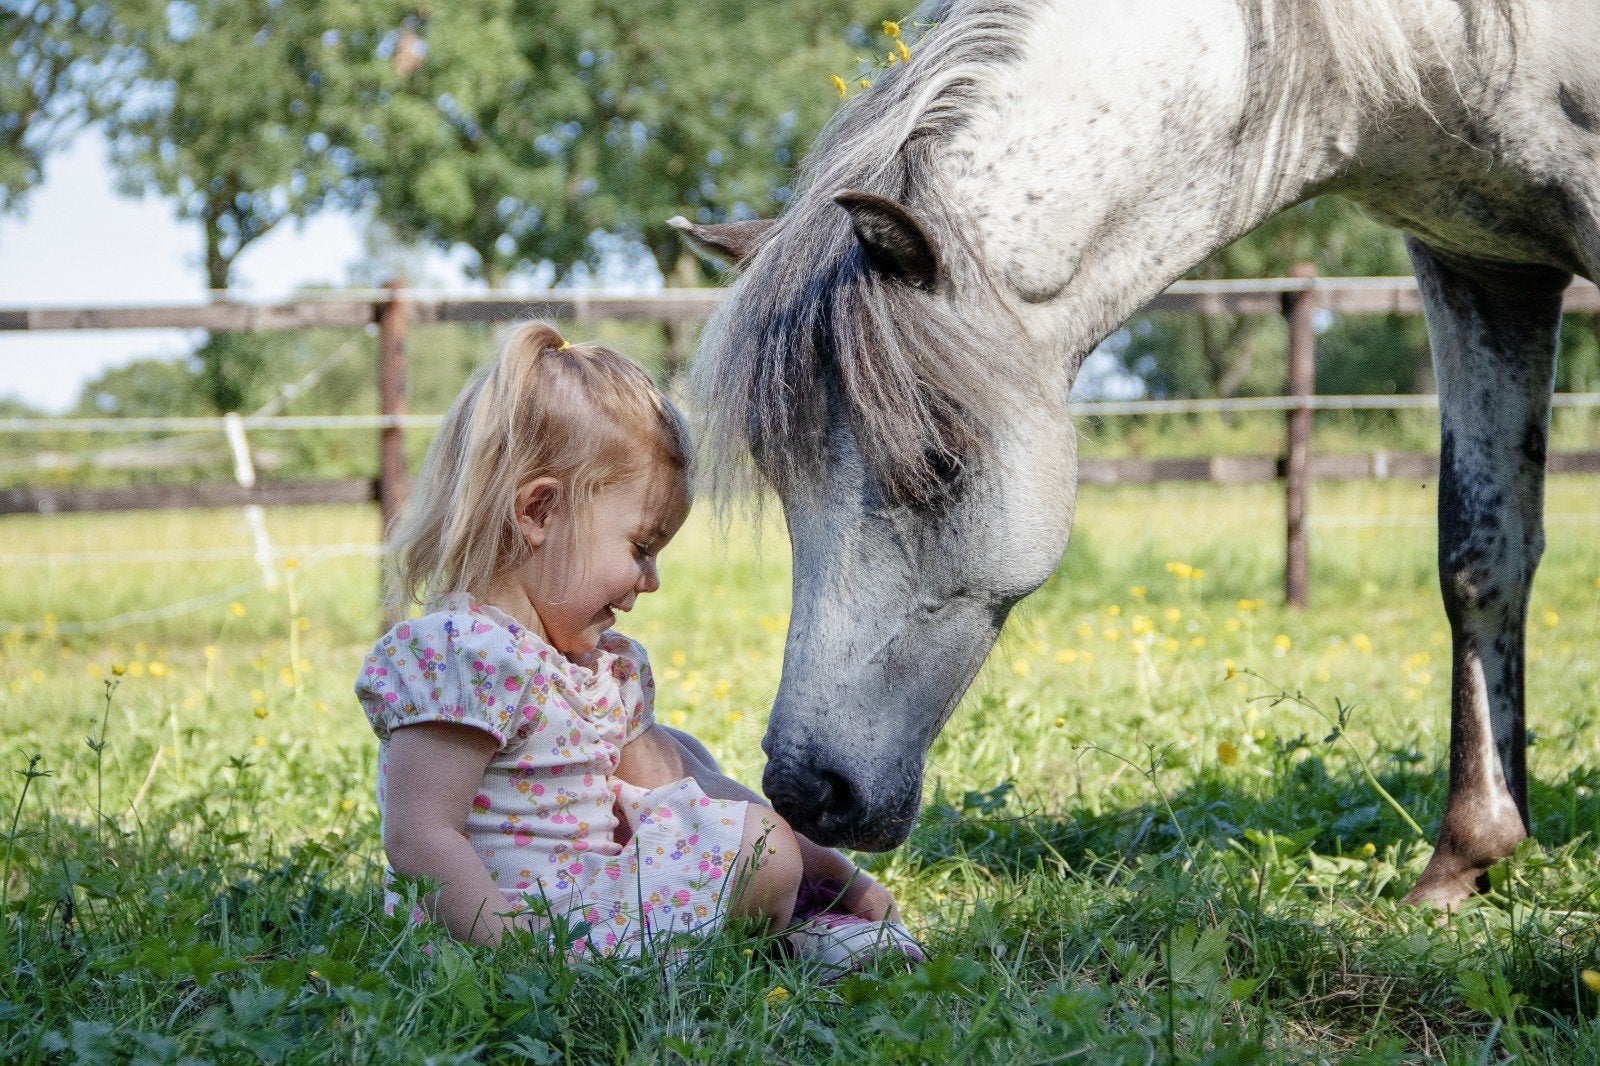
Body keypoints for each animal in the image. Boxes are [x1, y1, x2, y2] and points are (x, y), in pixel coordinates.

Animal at [672, 0, 1600, 908]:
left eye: (936, 461)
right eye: (779, 475)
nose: (802, 791)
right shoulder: (1481, 265)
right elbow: (1479, 561)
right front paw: (1467, 857)